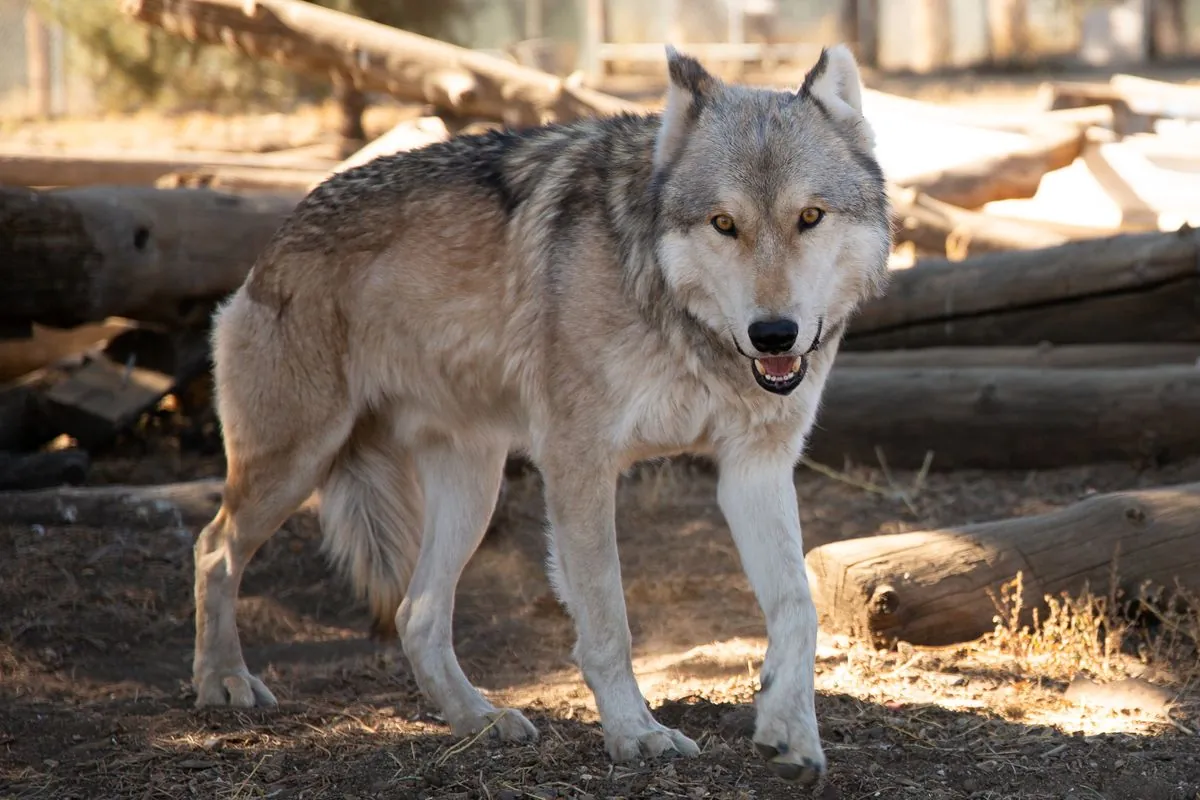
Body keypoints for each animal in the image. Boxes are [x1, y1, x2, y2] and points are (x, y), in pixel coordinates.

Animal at [192, 40, 892, 786]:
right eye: (724, 224)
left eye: (810, 217)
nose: (774, 335)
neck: (678, 321)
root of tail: (275, 239)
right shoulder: (578, 462)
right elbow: (608, 621)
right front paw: (636, 734)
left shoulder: (754, 469)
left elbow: (798, 607)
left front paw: (790, 732)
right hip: (297, 462)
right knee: (214, 549)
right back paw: (222, 682)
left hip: (472, 487)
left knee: (416, 613)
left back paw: (479, 719)